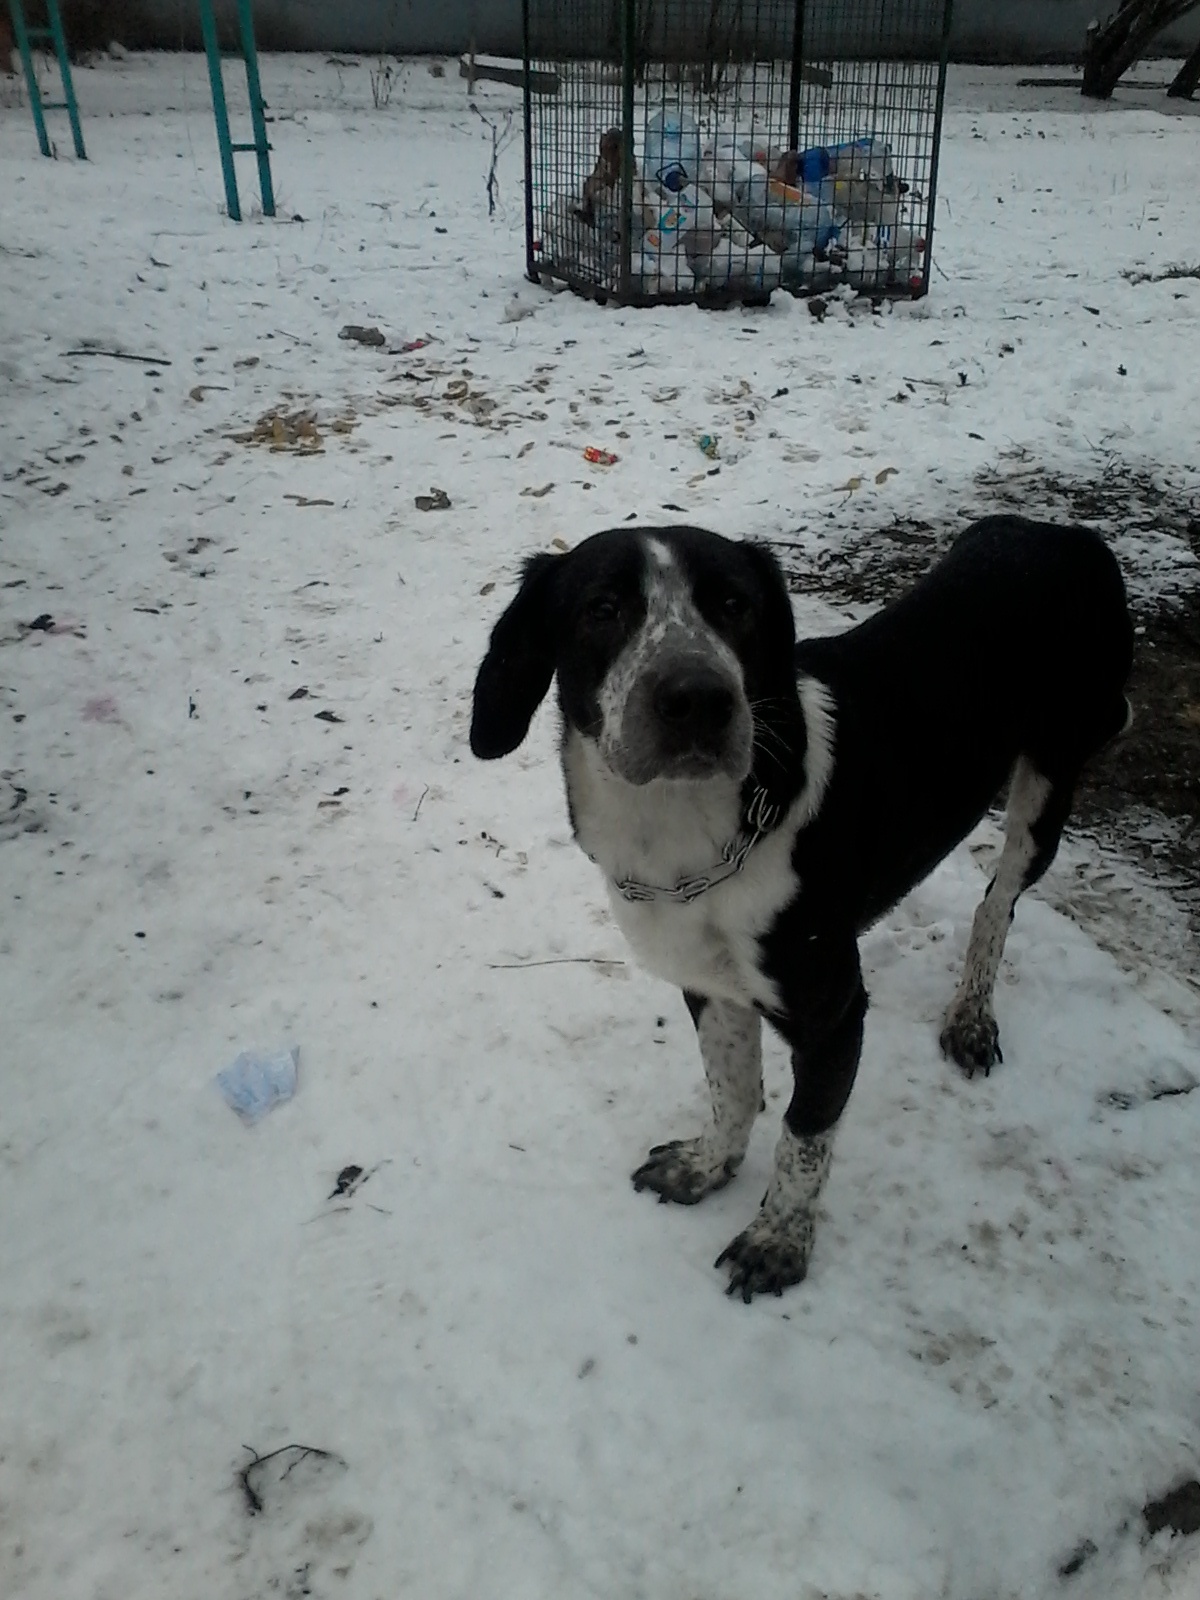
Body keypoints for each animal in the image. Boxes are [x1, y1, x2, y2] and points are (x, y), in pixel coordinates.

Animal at [473, 521, 1139, 1299]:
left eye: (736, 604)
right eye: (601, 609)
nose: (698, 698)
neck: (688, 836)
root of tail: (1068, 531)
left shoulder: (834, 1015)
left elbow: (804, 1136)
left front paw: (777, 1242)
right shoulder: (710, 984)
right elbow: (733, 1088)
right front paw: (707, 1167)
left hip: (1051, 781)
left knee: (997, 902)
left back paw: (972, 1017)